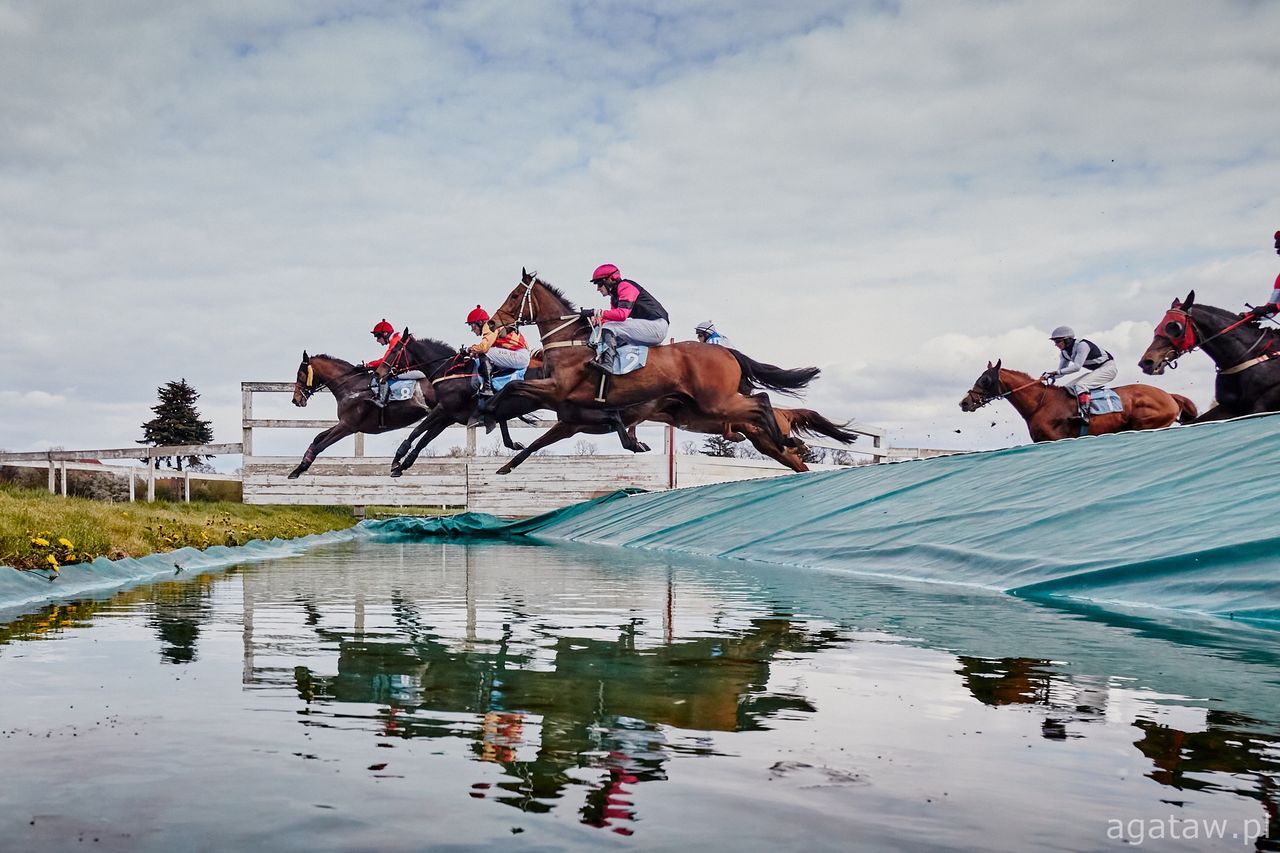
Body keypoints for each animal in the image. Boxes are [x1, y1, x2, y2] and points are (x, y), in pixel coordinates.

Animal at [288, 348, 432, 479]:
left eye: (300, 374)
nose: (295, 400)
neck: (352, 388)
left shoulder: (347, 426)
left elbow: (320, 446)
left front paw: (300, 468)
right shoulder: (344, 423)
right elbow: (317, 438)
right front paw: (299, 468)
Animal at [483, 268, 824, 471]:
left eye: (515, 296)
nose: (494, 322)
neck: (570, 341)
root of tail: (725, 351)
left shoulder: (559, 388)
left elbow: (512, 386)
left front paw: (488, 411)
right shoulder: (568, 410)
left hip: (717, 402)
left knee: (762, 402)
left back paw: (789, 441)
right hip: (712, 407)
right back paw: (791, 443)